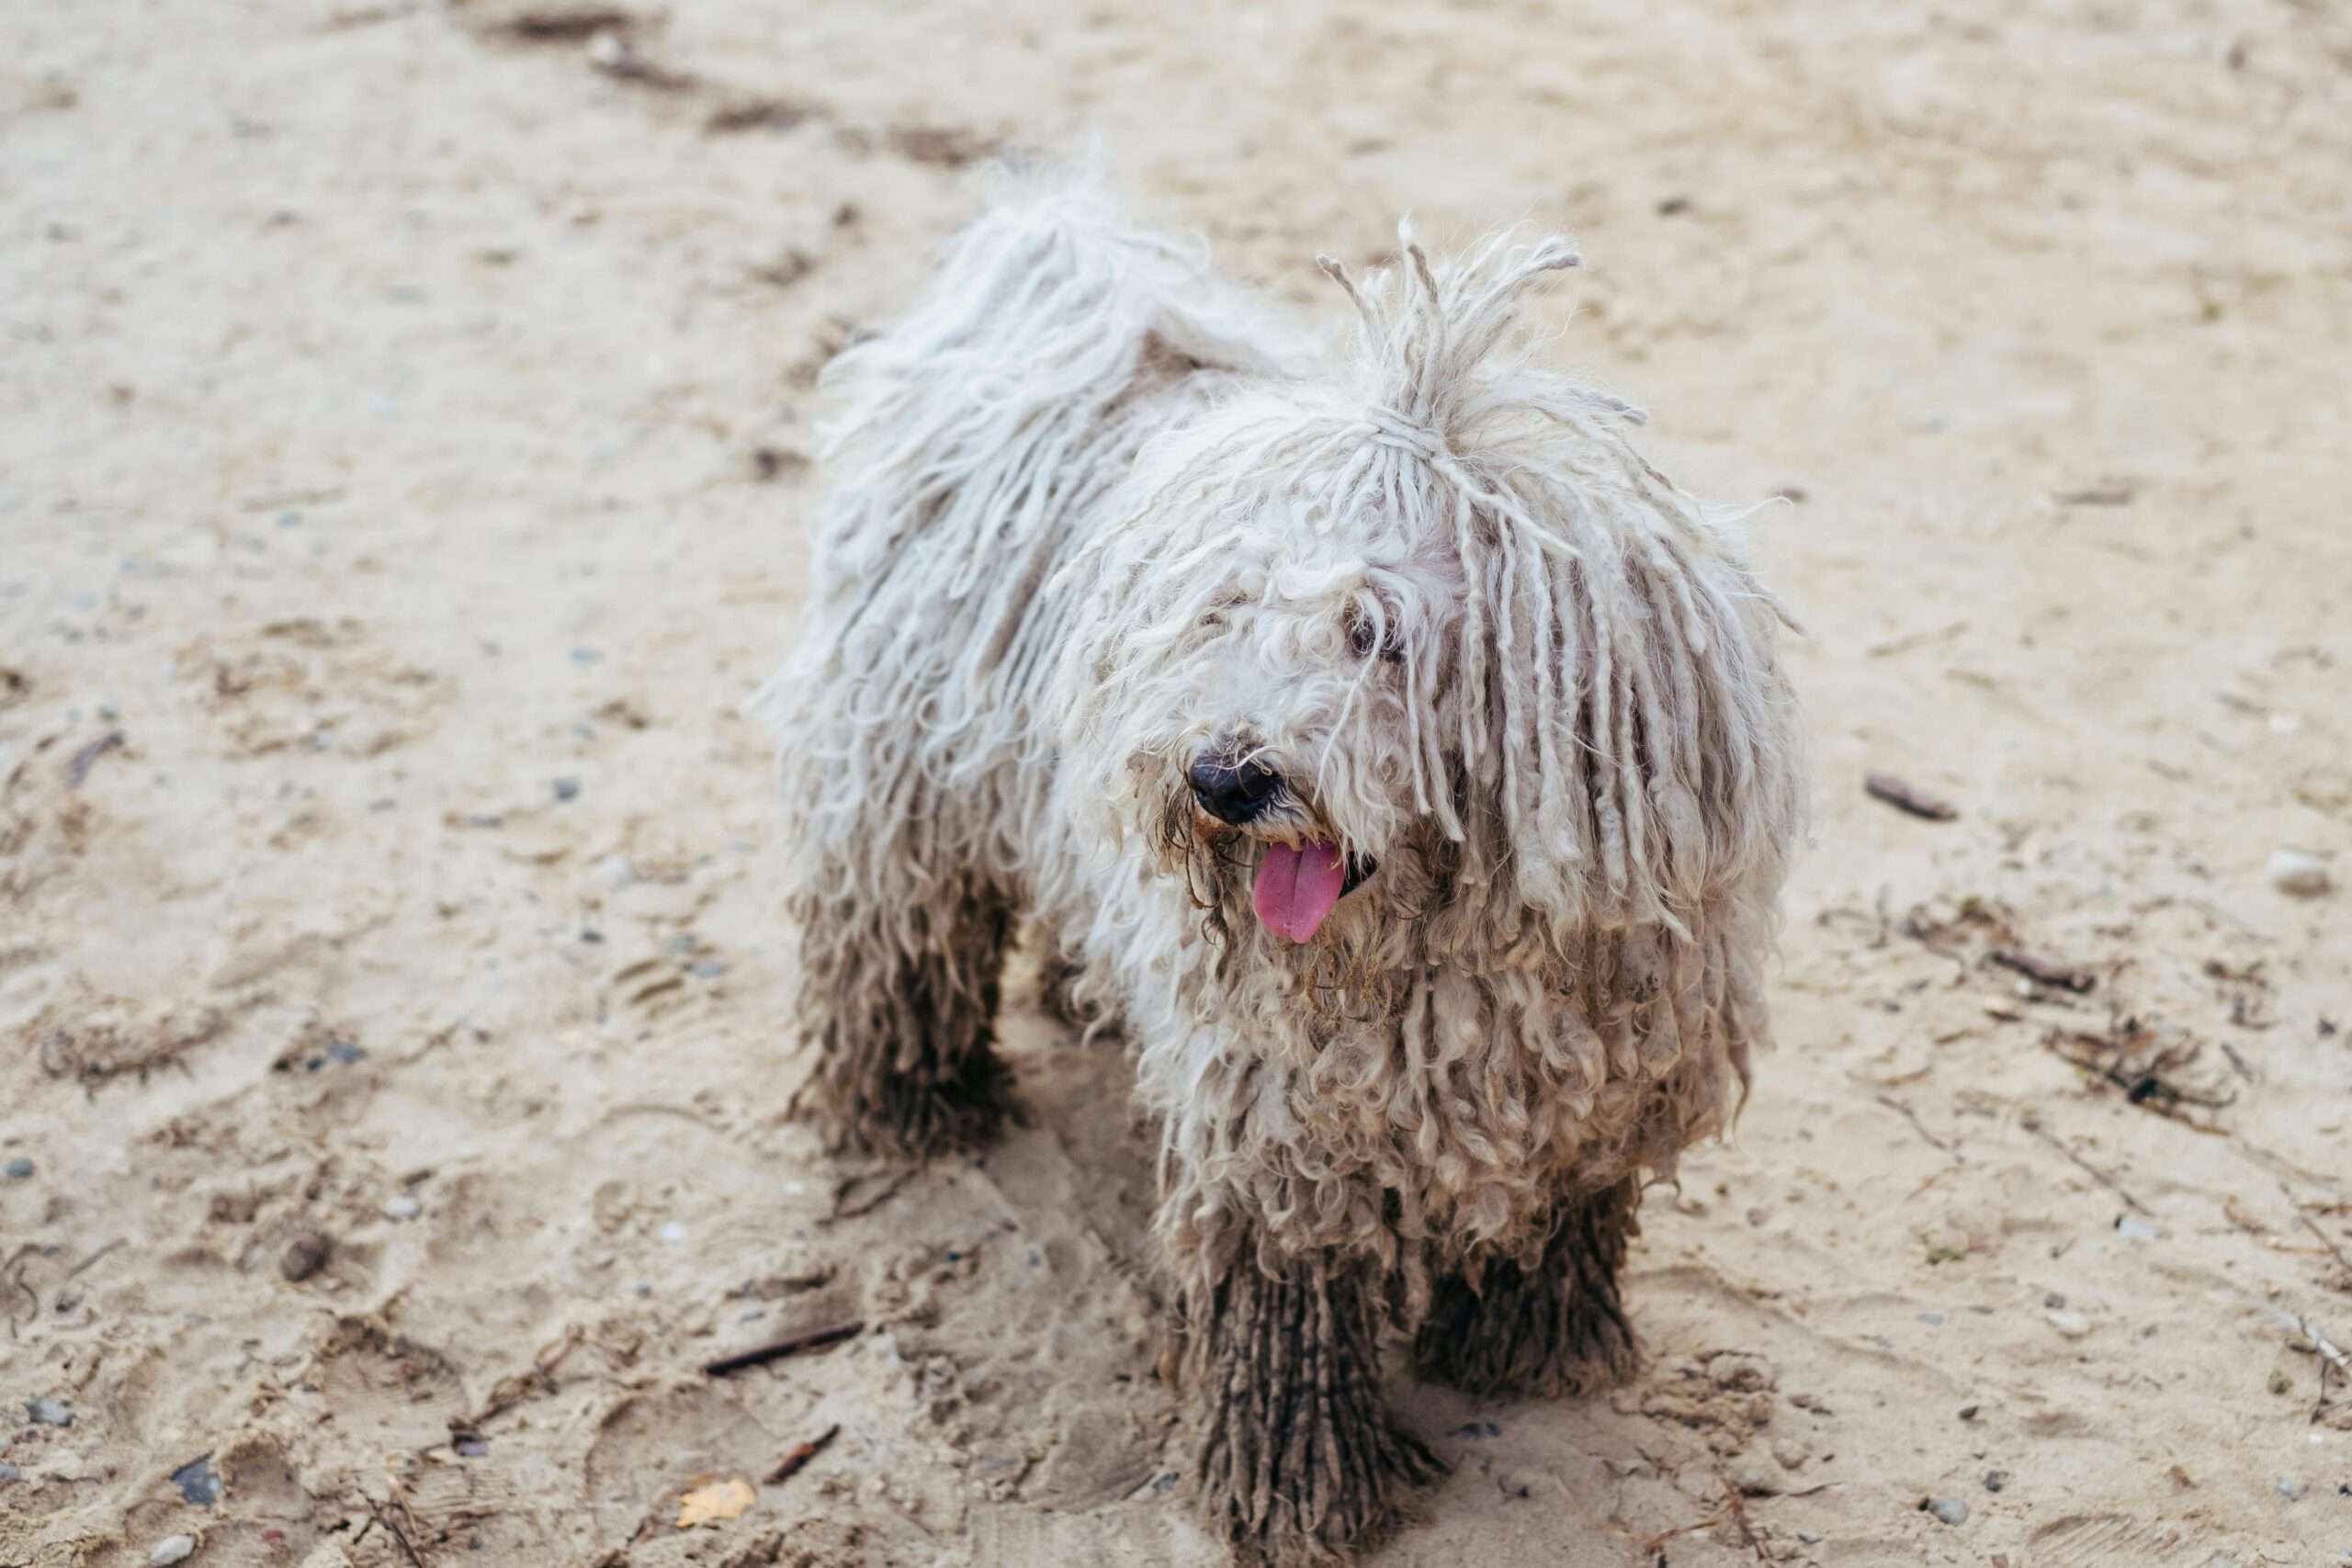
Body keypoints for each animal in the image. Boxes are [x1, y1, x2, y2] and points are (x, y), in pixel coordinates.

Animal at [757, 165, 1796, 1561]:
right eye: (1225, 610)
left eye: (1379, 632)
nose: (1224, 776)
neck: (1447, 954)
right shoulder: (1279, 1119)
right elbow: (1286, 1305)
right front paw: (1299, 1493)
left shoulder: (1610, 1072)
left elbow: (1564, 1212)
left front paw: (1538, 1346)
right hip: (898, 771)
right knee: (894, 934)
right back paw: (911, 1105)